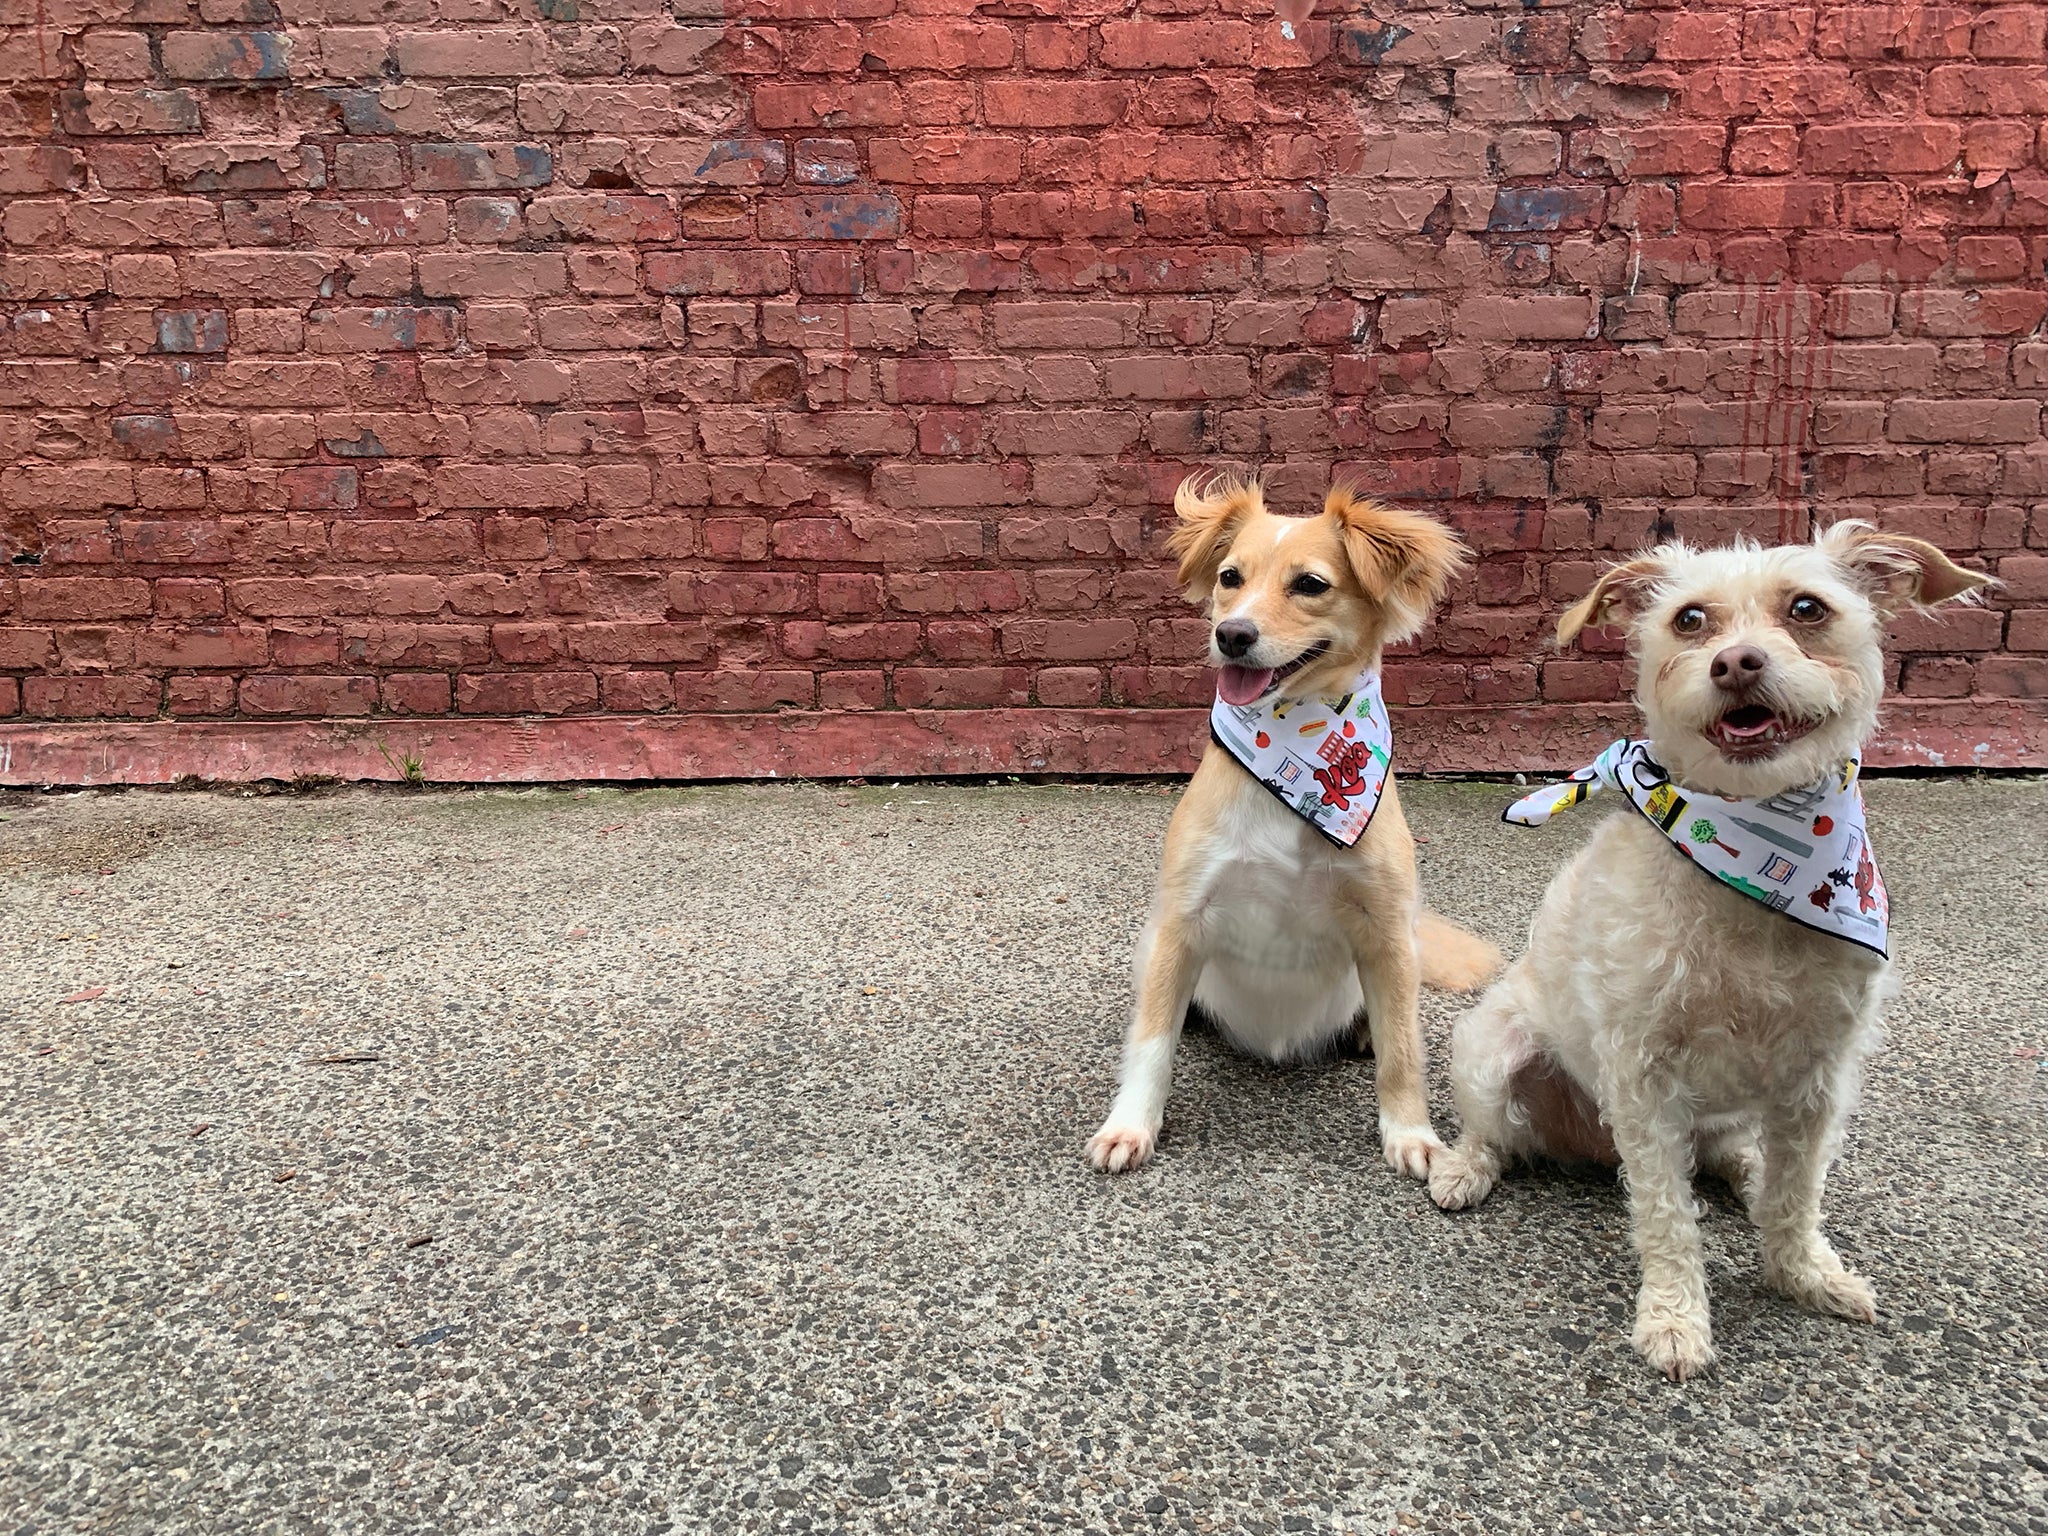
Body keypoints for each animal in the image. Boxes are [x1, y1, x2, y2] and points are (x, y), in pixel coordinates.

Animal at [1089, 479, 1507, 1179]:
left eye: (1310, 584)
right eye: (1230, 577)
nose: (1232, 634)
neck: (1296, 756)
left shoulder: (1387, 930)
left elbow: (1403, 1051)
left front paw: (1411, 1134)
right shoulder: (1182, 921)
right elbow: (1151, 1043)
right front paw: (1130, 1125)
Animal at [1433, 528, 1990, 1384]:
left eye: (1808, 608)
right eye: (1689, 619)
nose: (1736, 663)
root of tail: (1589, 1143)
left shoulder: (1821, 1073)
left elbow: (1797, 1196)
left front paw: (1805, 1274)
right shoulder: (1642, 1075)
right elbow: (1667, 1214)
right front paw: (1674, 1318)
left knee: (1740, 1161)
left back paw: (1752, 1172)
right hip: (1492, 1051)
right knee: (1498, 1133)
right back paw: (1466, 1168)